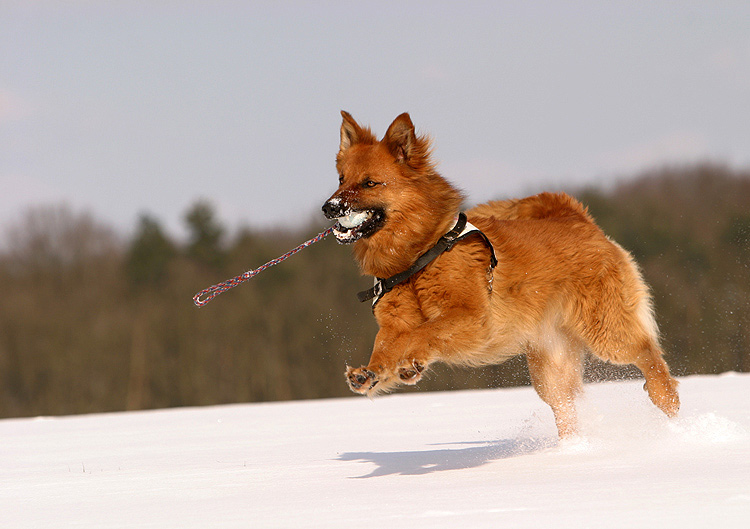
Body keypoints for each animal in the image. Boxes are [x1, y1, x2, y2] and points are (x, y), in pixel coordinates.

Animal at [324, 111, 680, 438]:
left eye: (370, 182)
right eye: (341, 179)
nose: (329, 207)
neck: (418, 255)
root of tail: (576, 218)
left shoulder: (473, 319)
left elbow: (421, 333)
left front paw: (407, 362)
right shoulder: (394, 323)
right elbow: (387, 345)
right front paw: (374, 372)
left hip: (605, 331)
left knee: (647, 353)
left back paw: (667, 404)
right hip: (549, 368)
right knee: (566, 407)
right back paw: (571, 449)